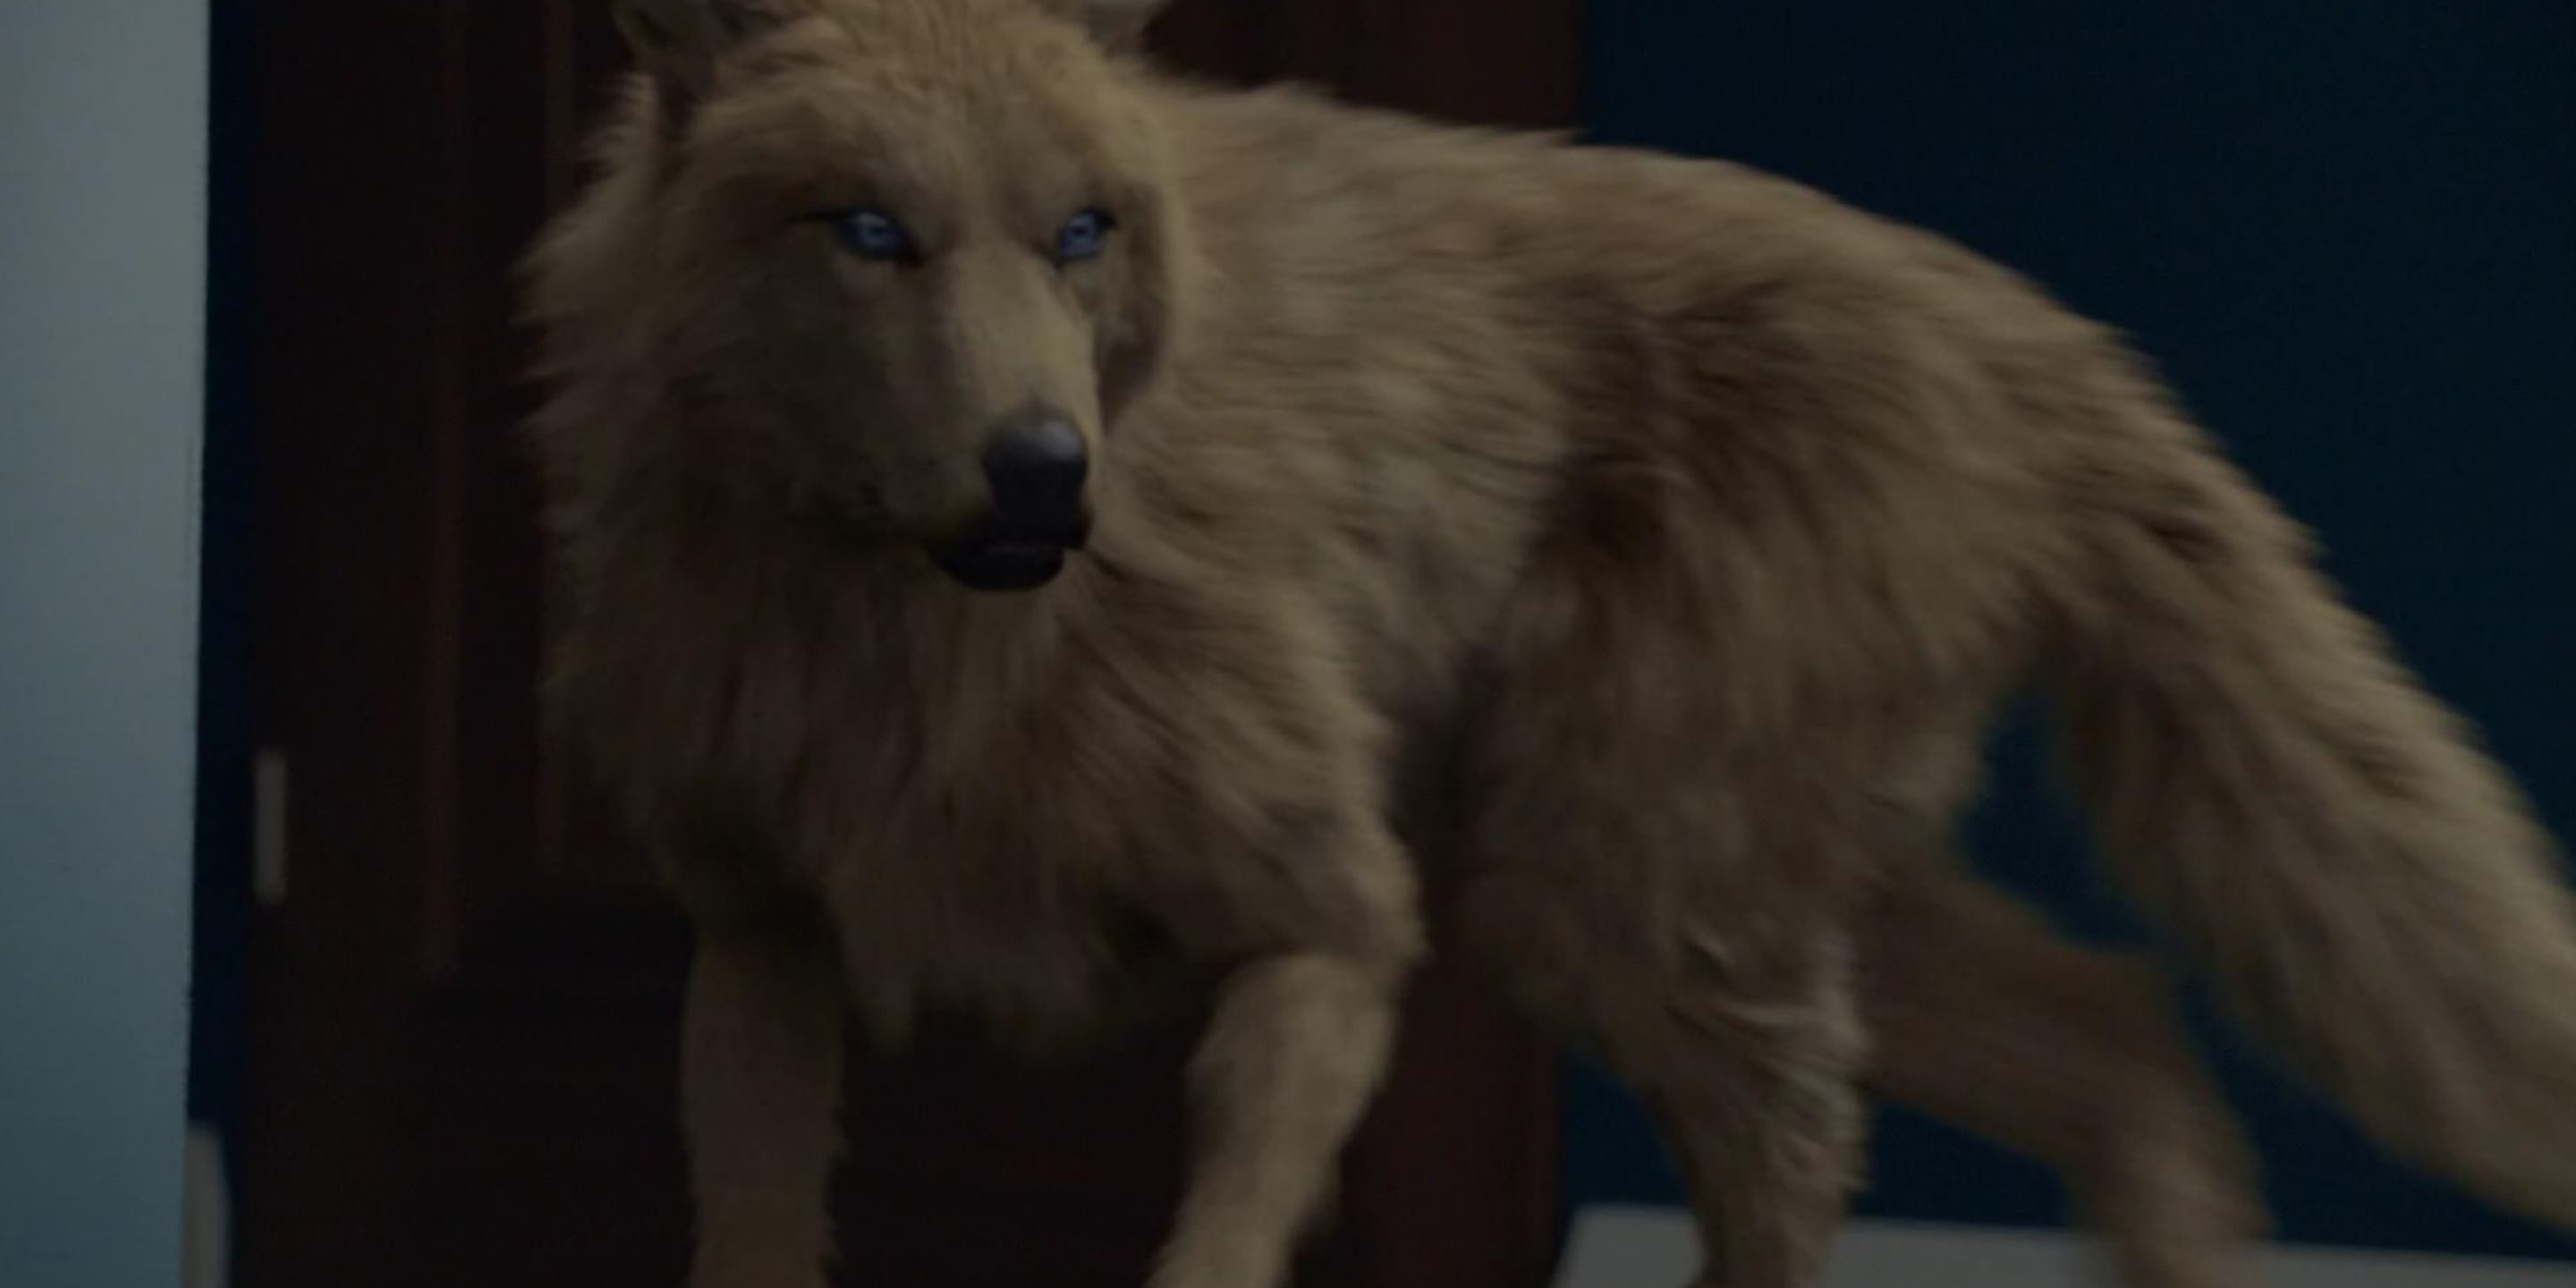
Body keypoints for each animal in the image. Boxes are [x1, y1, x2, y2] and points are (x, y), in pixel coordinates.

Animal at [521, 1, 2576, 1285]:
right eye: (872, 232)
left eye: (1080, 232)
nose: (1043, 475)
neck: (894, 630)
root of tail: (2040, 331)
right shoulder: (762, 939)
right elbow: (751, 1233)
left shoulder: (1339, 919)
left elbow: (1217, 1242)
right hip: (1718, 884)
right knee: (2126, 1041)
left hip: (1610, 899)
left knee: (1810, 1154)